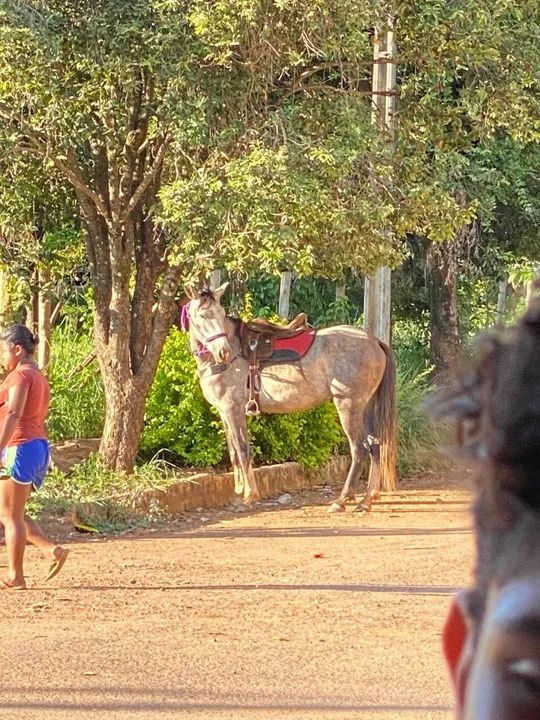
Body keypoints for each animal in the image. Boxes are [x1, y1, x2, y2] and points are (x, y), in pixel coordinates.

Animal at [182, 283, 397, 511]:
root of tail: (374, 341)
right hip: (366, 406)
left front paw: (250, 495)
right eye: (203, 315)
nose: (223, 351)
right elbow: (233, 453)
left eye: (220, 313)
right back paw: (367, 499)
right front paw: (239, 491)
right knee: (375, 445)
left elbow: (242, 449)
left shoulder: (234, 409)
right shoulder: (224, 412)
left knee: (359, 448)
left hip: (348, 406)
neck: (236, 353)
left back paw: (342, 499)